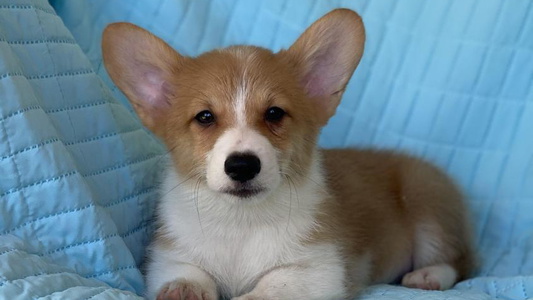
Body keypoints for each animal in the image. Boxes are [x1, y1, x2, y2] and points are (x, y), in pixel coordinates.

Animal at [102, 8, 472, 298]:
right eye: (204, 117)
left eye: (275, 113)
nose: (242, 166)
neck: (241, 222)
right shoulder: (170, 260)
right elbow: (186, 276)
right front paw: (184, 291)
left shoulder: (317, 269)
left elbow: (266, 290)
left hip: (428, 204)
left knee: (461, 260)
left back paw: (428, 276)